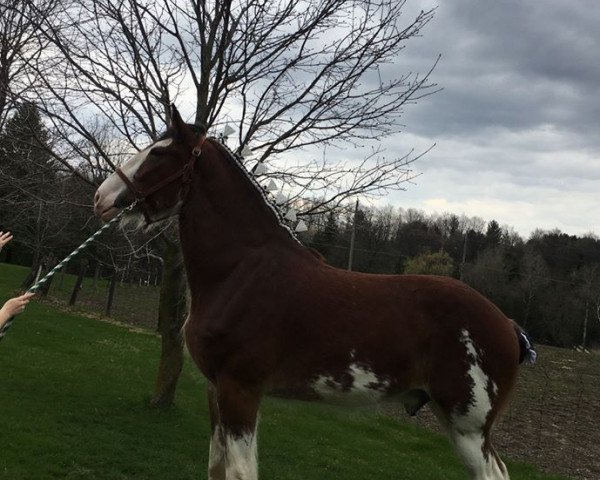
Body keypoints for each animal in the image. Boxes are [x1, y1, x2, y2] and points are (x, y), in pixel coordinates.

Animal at [95, 107, 540, 480]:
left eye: (158, 153)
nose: (101, 197)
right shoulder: (215, 392)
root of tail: (508, 324)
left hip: (468, 428)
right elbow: (217, 468)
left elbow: (240, 472)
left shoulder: (240, 390)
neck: (241, 272)